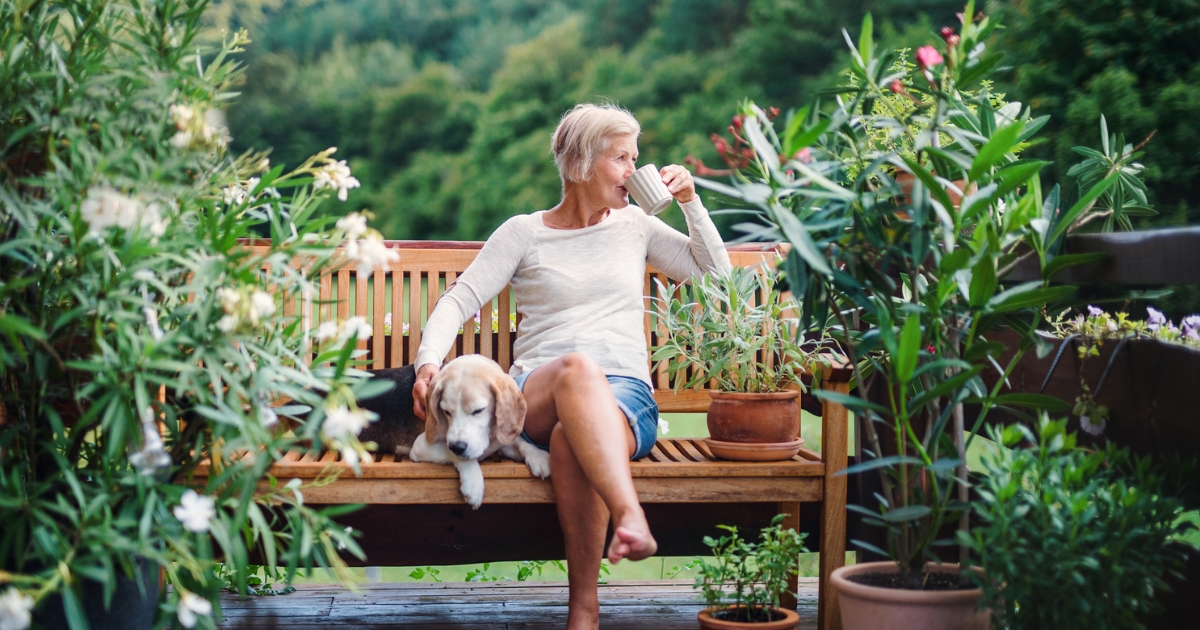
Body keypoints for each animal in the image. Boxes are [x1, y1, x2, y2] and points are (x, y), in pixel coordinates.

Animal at [350, 355, 549, 508]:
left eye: (478, 410)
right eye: (446, 411)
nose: (458, 446)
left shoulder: (498, 442)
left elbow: (521, 443)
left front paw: (539, 457)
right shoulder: (421, 446)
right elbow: (456, 454)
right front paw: (473, 483)